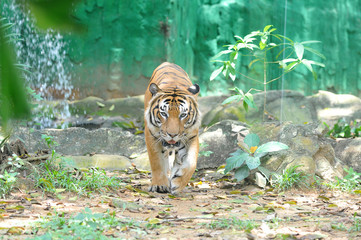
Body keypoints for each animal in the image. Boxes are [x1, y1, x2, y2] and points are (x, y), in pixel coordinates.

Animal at [143, 62, 200, 195]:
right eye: (164, 113)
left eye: (183, 115)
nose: (172, 134)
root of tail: (167, 63)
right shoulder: (151, 135)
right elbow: (157, 161)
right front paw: (159, 185)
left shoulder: (192, 137)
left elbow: (191, 163)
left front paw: (177, 183)